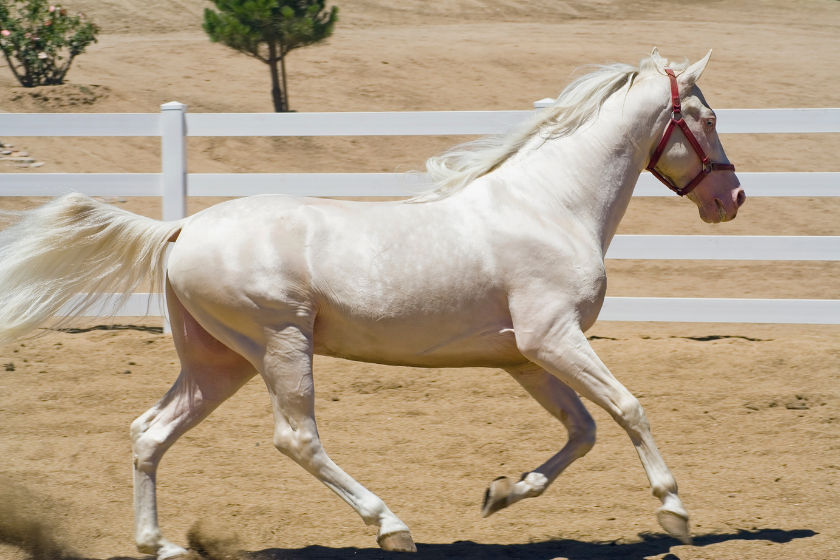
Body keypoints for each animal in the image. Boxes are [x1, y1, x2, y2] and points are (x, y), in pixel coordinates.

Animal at [3, 48, 744, 556]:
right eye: (705, 118)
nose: (731, 198)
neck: (549, 205)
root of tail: (182, 229)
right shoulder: (554, 337)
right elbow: (627, 408)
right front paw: (674, 512)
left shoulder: (525, 357)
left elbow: (582, 430)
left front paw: (502, 493)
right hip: (280, 344)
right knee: (296, 438)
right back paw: (391, 525)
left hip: (219, 363)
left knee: (150, 432)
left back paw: (162, 545)